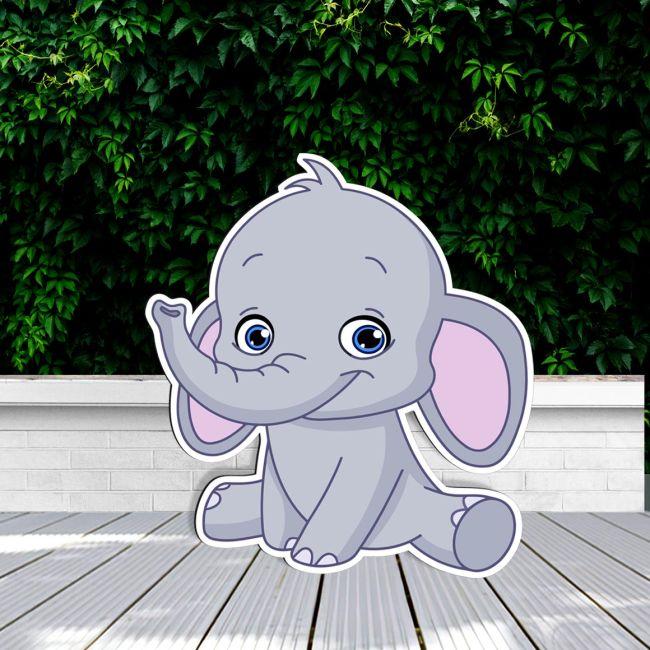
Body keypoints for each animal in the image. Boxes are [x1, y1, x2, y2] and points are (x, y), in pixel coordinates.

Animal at [146, 154, 532, 576]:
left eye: (368, 339)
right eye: (255, 336)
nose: (168, 308)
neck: (322, 426)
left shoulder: (374, 456)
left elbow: (352, 493)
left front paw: (313, 558)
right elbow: (275, 494)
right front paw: (280, 545)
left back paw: (475, 521)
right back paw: (219, 501)